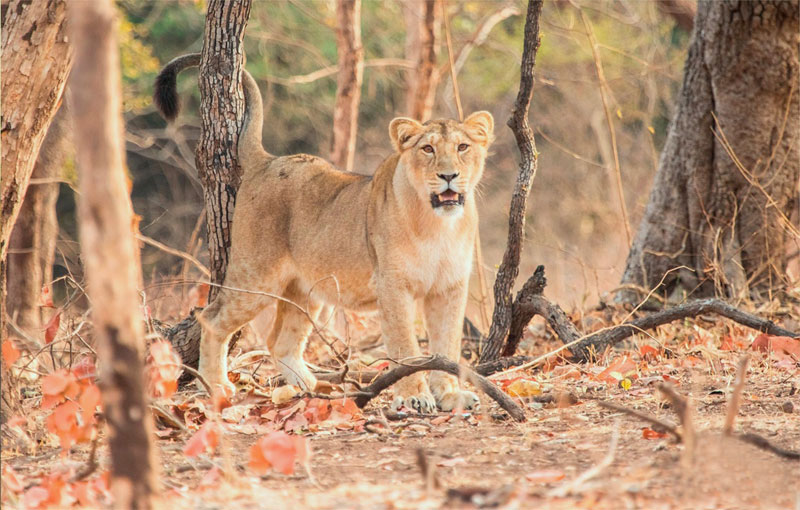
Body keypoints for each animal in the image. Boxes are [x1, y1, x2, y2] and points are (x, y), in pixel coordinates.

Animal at [155, 53, 494, 412]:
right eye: (428, 149)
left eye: (463, 147)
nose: (448, 176)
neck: (438, 225)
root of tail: (267, 160)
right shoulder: (393, 286)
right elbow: (406, 347)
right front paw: (415, 397)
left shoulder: (450, 287)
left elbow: (447, 345)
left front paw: (451, 395)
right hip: (255, 278)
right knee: (212, 318)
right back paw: (216, 386)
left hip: (306, 290)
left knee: (280, 341)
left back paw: (313, 389)